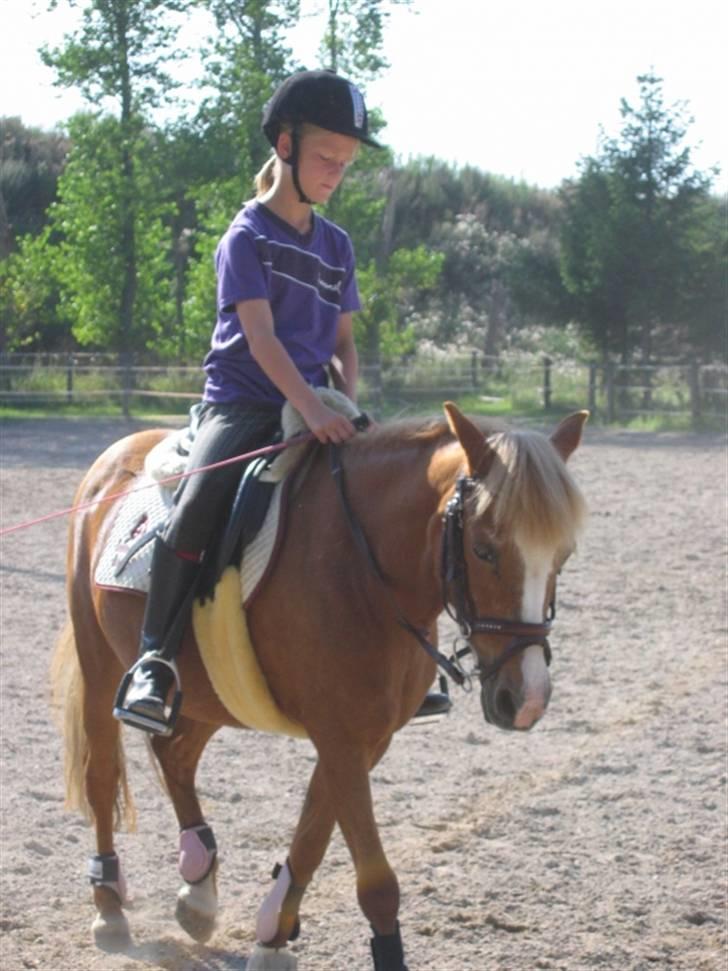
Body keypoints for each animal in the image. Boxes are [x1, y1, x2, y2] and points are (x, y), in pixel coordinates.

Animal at [50, 402, 588, 971]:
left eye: (563, 554)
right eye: (483, 550)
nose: (526, 700)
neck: (361, 568)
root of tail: (115, 456)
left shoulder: (365, 739)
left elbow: (310, 840)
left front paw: (271, 934)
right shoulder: (340, 737)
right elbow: (377, 884)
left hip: (208, 692)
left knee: (176, 756)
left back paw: (198, 888)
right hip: (99, 661)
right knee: (101, 775)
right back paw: (110, 906)